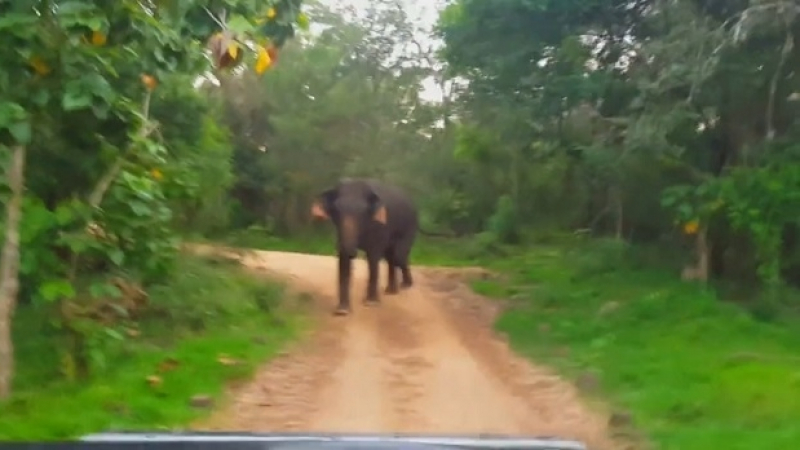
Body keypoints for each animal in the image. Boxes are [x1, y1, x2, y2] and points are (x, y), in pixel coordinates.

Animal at [310, 178, 418, 314]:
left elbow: (373, 257)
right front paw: (342, 310)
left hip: (410, 225)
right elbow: (343, 260)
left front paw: (371, 303)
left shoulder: (379, 225)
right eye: (336, 210)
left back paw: (406, 285)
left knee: (399, 256)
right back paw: (392, 290)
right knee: (391, 257)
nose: (354, 253)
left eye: (363, 212)